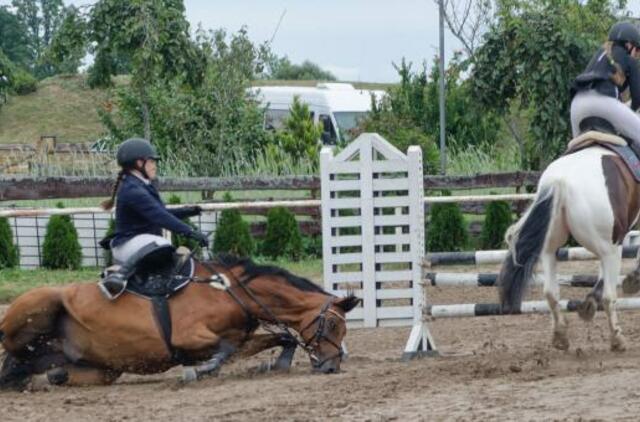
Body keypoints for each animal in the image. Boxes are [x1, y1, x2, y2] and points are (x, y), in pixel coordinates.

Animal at [0, 254, 360, 390]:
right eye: (332, 326)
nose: (332, 366)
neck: (231, 291)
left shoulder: (242, 337)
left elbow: (278, 339)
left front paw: (273, 364)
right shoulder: (188, 337)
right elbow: (222, 350)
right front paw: (199, 370)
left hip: (102, 370)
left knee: (45, 370)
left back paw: (43, 377)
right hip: (41, 303)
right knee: (11, 348)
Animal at [500, 143, 640, 352]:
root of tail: (561, 180)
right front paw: (634, 279)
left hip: (550, 249)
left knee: (550, 292)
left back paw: (561, 335)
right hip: (611, 248)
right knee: (609, 296)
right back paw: (617, 339)